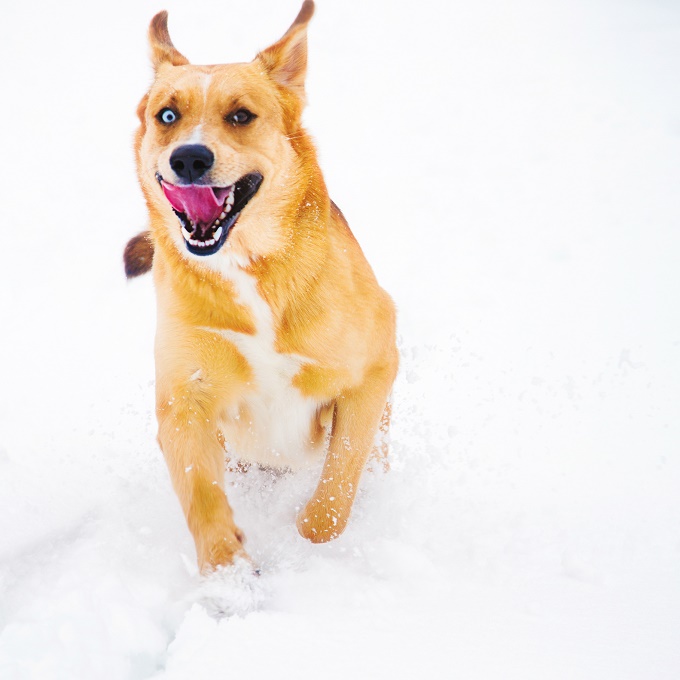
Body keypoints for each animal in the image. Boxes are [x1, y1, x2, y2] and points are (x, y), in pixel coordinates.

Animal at [126, 0, 398, 572]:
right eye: (167, 115)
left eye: (240, 116)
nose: (189, 158)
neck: (250, 269)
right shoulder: (184, 400)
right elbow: (202, 497)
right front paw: (229, 575)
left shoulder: (373, 371)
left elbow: (336, 488)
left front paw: (311, 552)